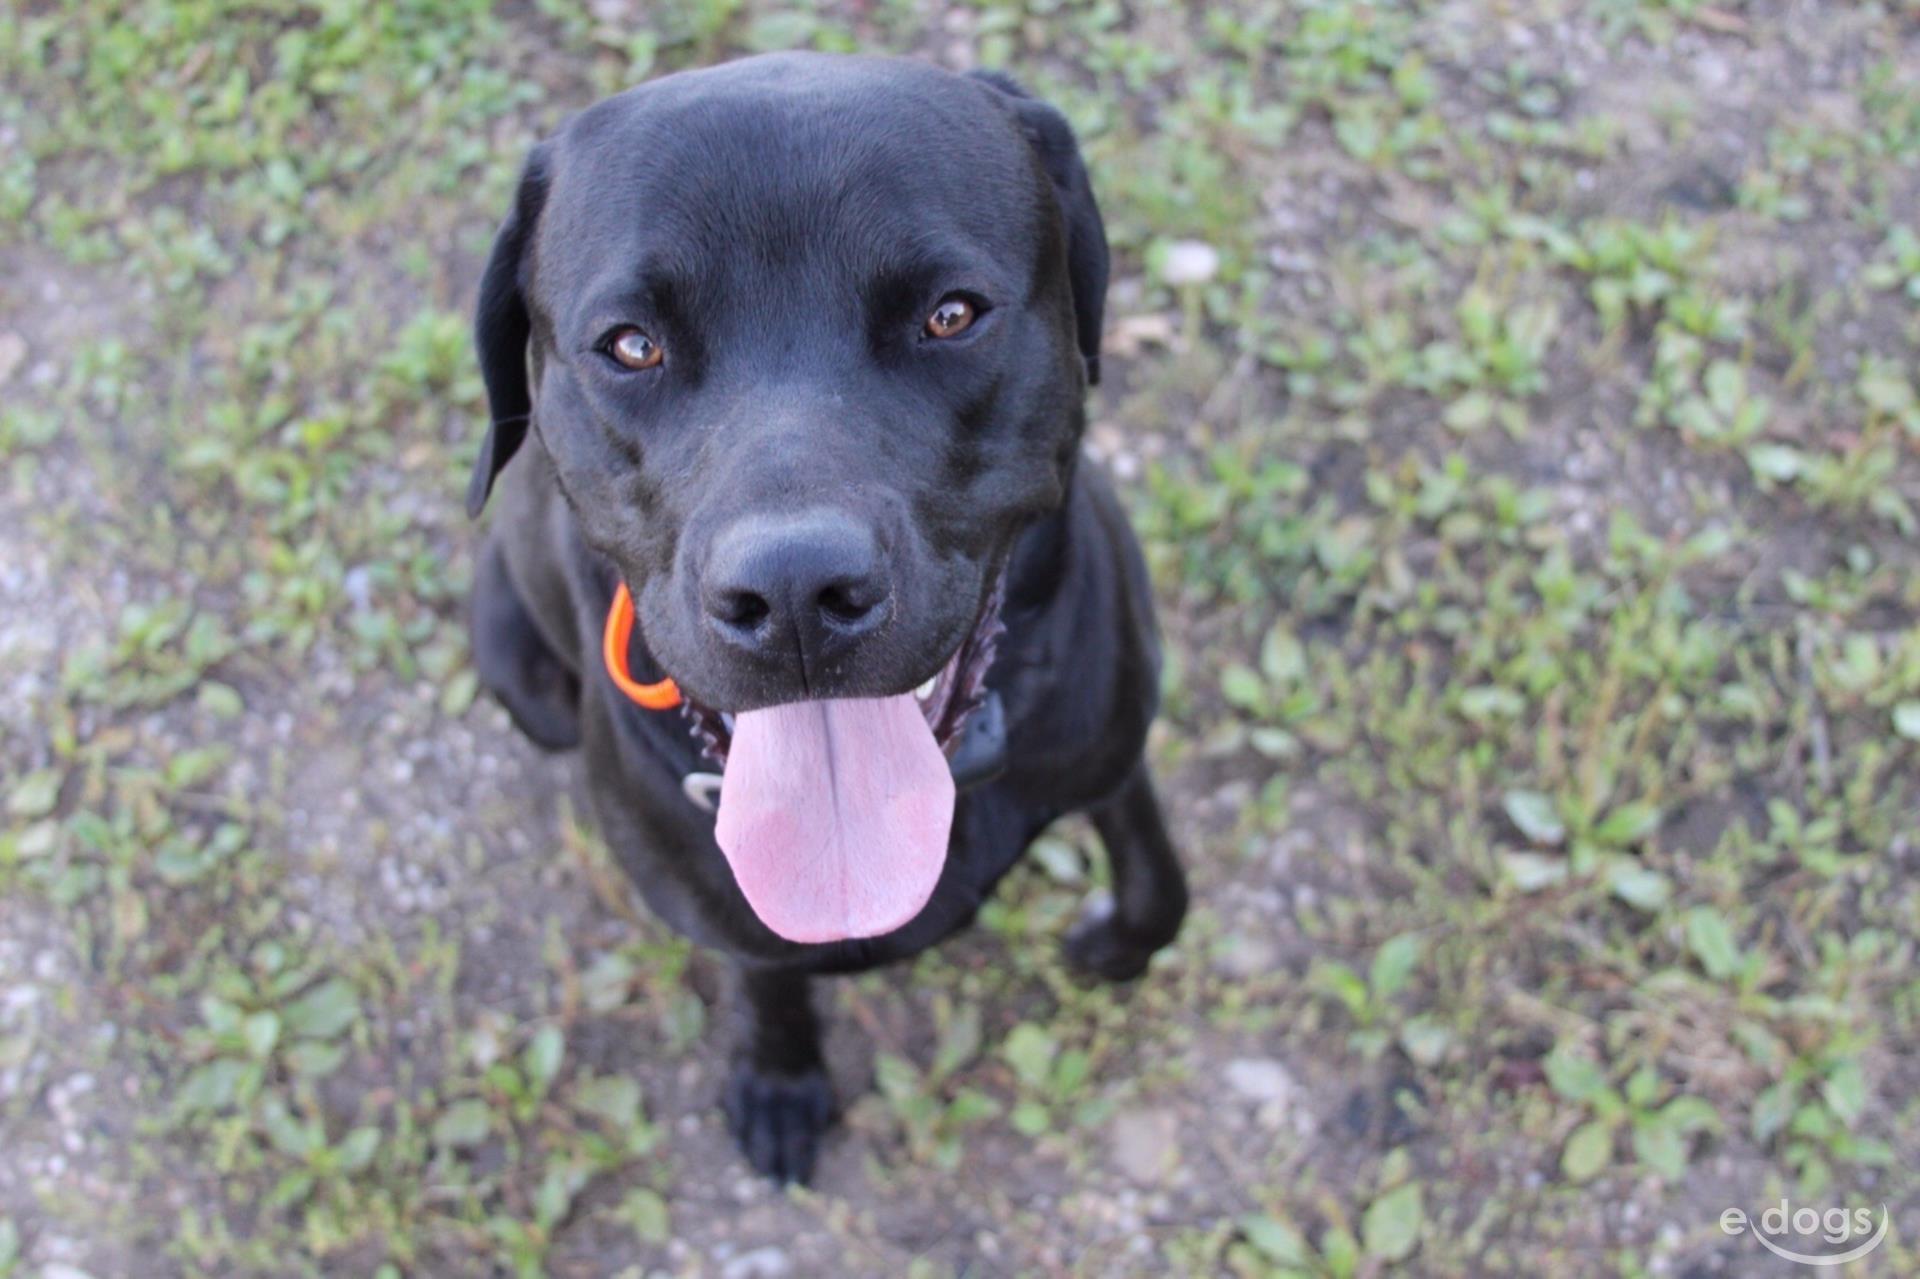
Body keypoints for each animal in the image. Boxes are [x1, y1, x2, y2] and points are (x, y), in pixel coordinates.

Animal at [466, 54, 1182, 1182]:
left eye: (950, 315)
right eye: (631, 345)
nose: (795, 592)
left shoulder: (1110, 733)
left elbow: (1160, 888)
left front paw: (1109, 941)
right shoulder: (728, 910)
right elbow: (765, 974)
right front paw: (780, 1078)